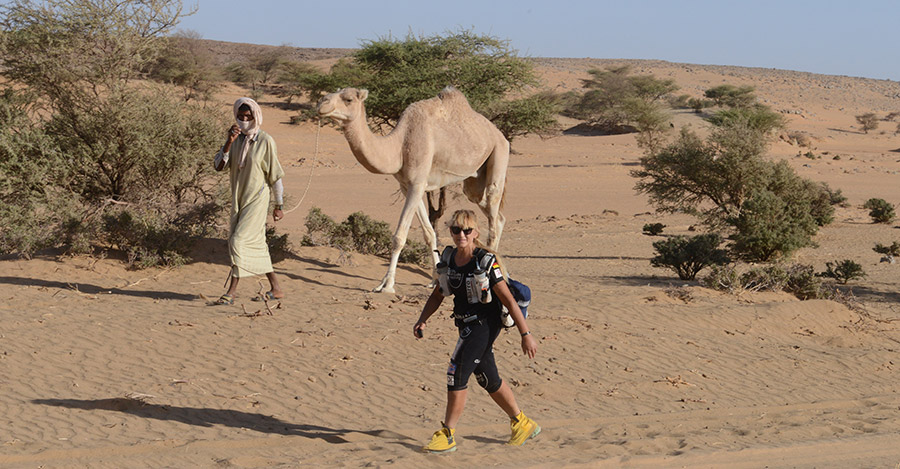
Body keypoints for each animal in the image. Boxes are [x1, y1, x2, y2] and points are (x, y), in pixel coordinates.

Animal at [318, 87, 510, 292]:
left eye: (348, 99)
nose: (322, 103)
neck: (399, 145)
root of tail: (501, 136)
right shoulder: (408, 186)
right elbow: (429, 233)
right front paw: (435, 279)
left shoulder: (417, 184)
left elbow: (399, 237)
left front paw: (386, 284)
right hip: (473, 185)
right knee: (497, 216)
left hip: (498, 156)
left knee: (493, 215)